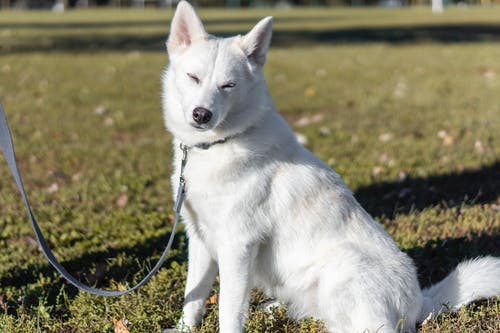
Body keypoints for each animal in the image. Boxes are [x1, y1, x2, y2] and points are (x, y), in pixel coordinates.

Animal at [162, 1, 498, 330]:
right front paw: (184, 328)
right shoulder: (200, 238)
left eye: (228, 85)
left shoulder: (237, 246)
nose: (201, 115)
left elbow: (229, 311)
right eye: (193, 77)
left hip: (343, 266)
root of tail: (419, 302)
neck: (219, 146)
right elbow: (193, 298)